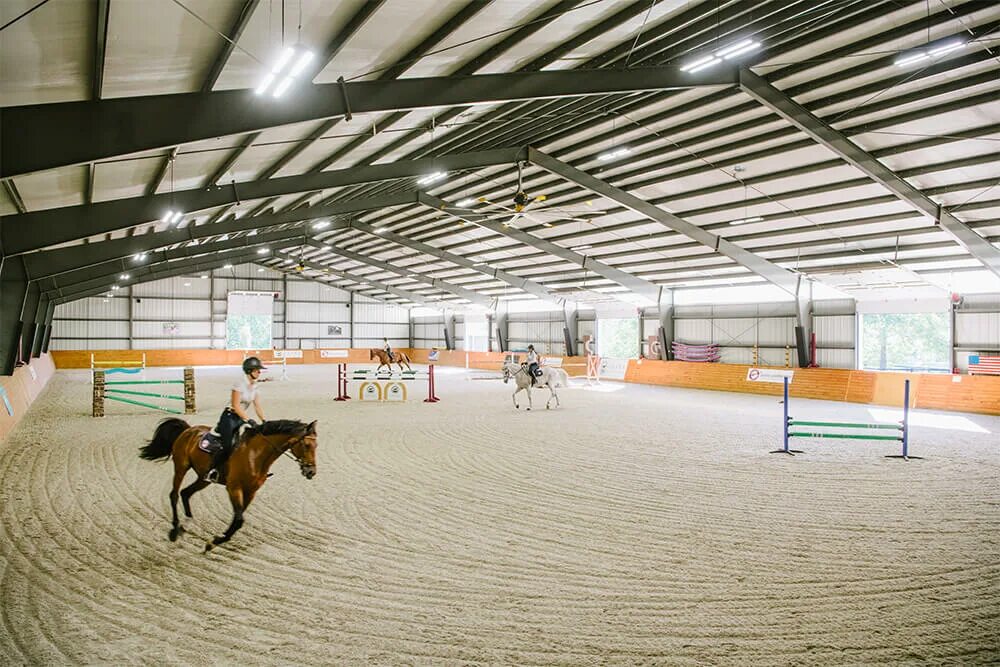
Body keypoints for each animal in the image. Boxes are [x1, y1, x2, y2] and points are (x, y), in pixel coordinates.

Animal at [138, 418, 316, 552]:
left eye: (316, 446)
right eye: (307, 445)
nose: (311, 472)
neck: (255, 456)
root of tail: (188, 430)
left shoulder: (251, 492)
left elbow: (238, 519)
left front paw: (218, 540)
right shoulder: (234, 488)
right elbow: (239, 519)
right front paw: (214, 542)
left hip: (203, 479)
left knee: (185, 493)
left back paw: (187, 523)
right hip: (181, 467)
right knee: (174, 494)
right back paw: (175, 530)